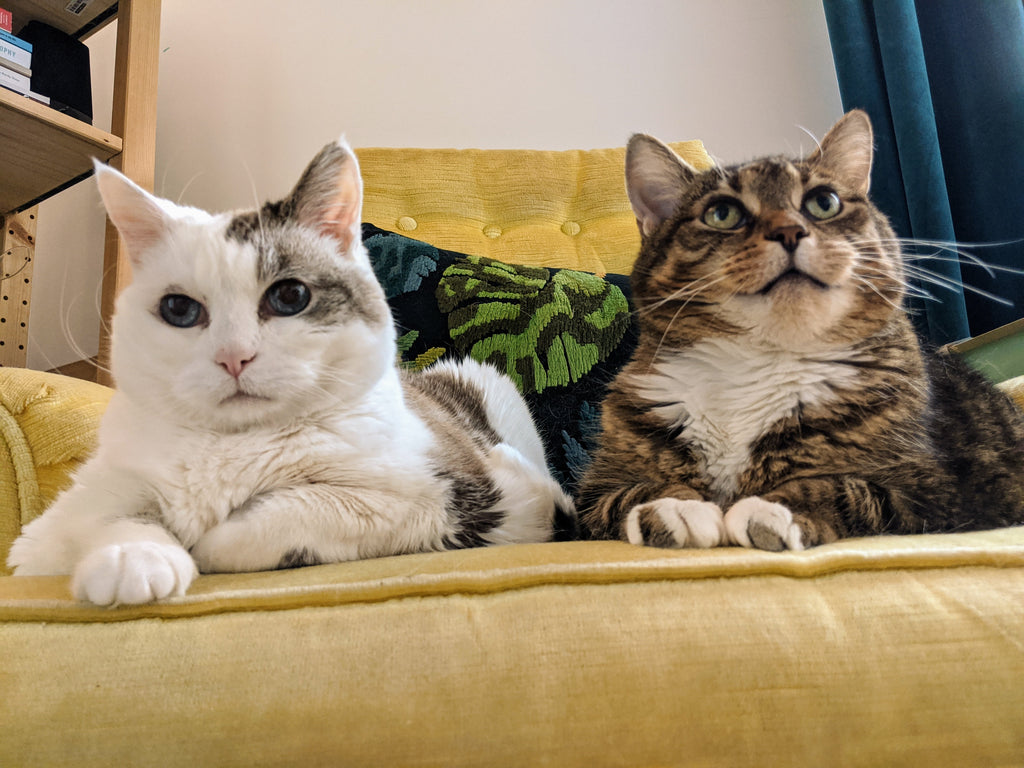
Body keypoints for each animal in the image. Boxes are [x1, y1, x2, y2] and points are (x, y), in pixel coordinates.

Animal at [8, 137, 573, 606]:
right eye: (179, 309)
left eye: (290, 296)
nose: (234, 356)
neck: (233, 446)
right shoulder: (67, 517)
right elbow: (113, 515)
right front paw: (134, 558)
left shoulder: (449, 498)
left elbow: (287, 512)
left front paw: (202, 543)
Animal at [577, 109, 1024, 552]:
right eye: (722, 213)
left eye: (824, 203)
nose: (789, 230)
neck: (757, 360)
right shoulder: (595, 491)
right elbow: (634, 490)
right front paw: (677, 506)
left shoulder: (937, 487)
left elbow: (840, 486)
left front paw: (771, 507)